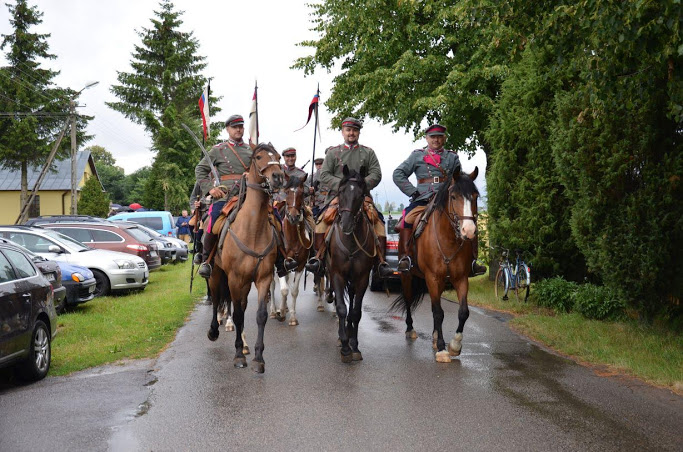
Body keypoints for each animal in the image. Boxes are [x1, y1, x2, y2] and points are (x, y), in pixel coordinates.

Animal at [207, 143, 284, 373]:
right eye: (258, 157)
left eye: (278, 157)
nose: (278, 177)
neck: (253, 229)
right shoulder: (234, 278)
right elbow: (238, 314)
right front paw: (238, 355)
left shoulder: (263, 278)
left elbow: (260, 315)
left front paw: (259, 358)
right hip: (216, 273)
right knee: (217, 300)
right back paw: (215, 331)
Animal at [269, 173, 321, 325]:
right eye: (286, 192)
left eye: (302, 193)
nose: (293, 217)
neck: (293, 236)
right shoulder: (280, 263)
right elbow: (284, 289)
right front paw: (280, 312)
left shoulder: (300, 265)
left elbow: (294, 291)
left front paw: (292, 317)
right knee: (272, 285)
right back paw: (273, 311)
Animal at [327, 165, 376, 362]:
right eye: (341, 191)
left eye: (361, 194)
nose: (346, 224)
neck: (352, 241)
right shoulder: (337, 275)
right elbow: (341, 308)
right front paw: (345, 347)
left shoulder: (362, 278)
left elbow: (355, 312)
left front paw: (354, 345)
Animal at [392, 167, 480, 363]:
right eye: (453, 196)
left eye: (475, 196)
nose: (469, 230)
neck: (448, 239)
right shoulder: (432, 278)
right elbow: (438, 312)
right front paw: (441, 349)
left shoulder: (460, 278)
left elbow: (463, 312)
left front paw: (454, 345)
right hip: (407, 276)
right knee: (409, 300)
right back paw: (410, 330)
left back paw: (433, 336)